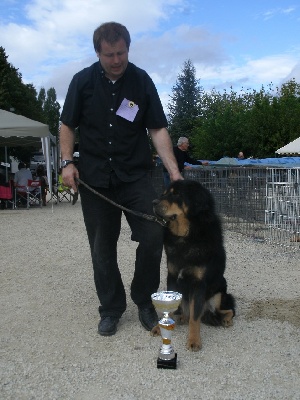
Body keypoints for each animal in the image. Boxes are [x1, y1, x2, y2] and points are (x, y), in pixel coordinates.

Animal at [151, 180, 236, 352]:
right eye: (164, 193)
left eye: (176, 194)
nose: (154, 203)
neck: (186, 236)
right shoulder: (172, 277)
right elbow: (170, 311)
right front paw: (159, 327)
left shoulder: (198, 284)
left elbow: (195, 317)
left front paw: (194, 340)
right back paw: (182, 317)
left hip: (218, 295)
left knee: (228, 310)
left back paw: (226, 320)